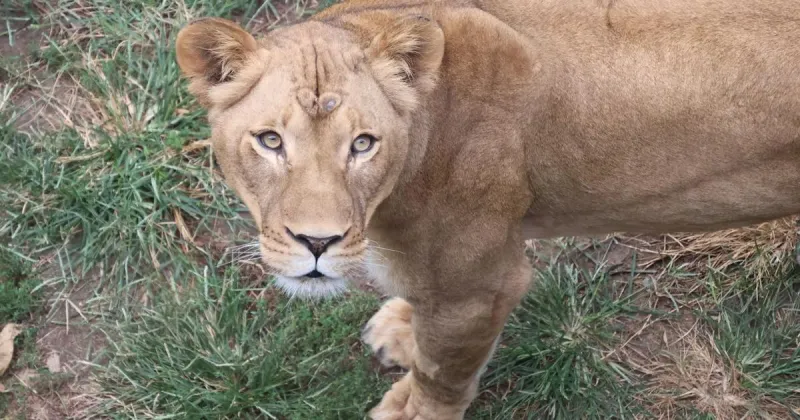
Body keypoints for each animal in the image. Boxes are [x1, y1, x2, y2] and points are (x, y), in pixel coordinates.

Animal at [175, 0, 800, 418]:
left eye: (363, 144)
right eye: (270, 141)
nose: (317, 242)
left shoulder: (477, 289)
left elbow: (441, 374)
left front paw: (410, 409)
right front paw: (403, 329)